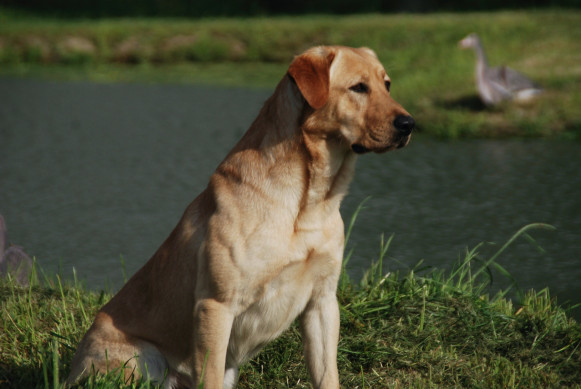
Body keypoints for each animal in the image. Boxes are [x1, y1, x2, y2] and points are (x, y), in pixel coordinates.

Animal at [67, 46, 412, 388]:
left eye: (387, 85)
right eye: (358, 87)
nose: (409, 123)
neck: (309, 202)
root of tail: (71, 370)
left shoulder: (322, 301)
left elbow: (328, 376)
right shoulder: (216, 305)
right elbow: (209, 375)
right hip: (140, 361)